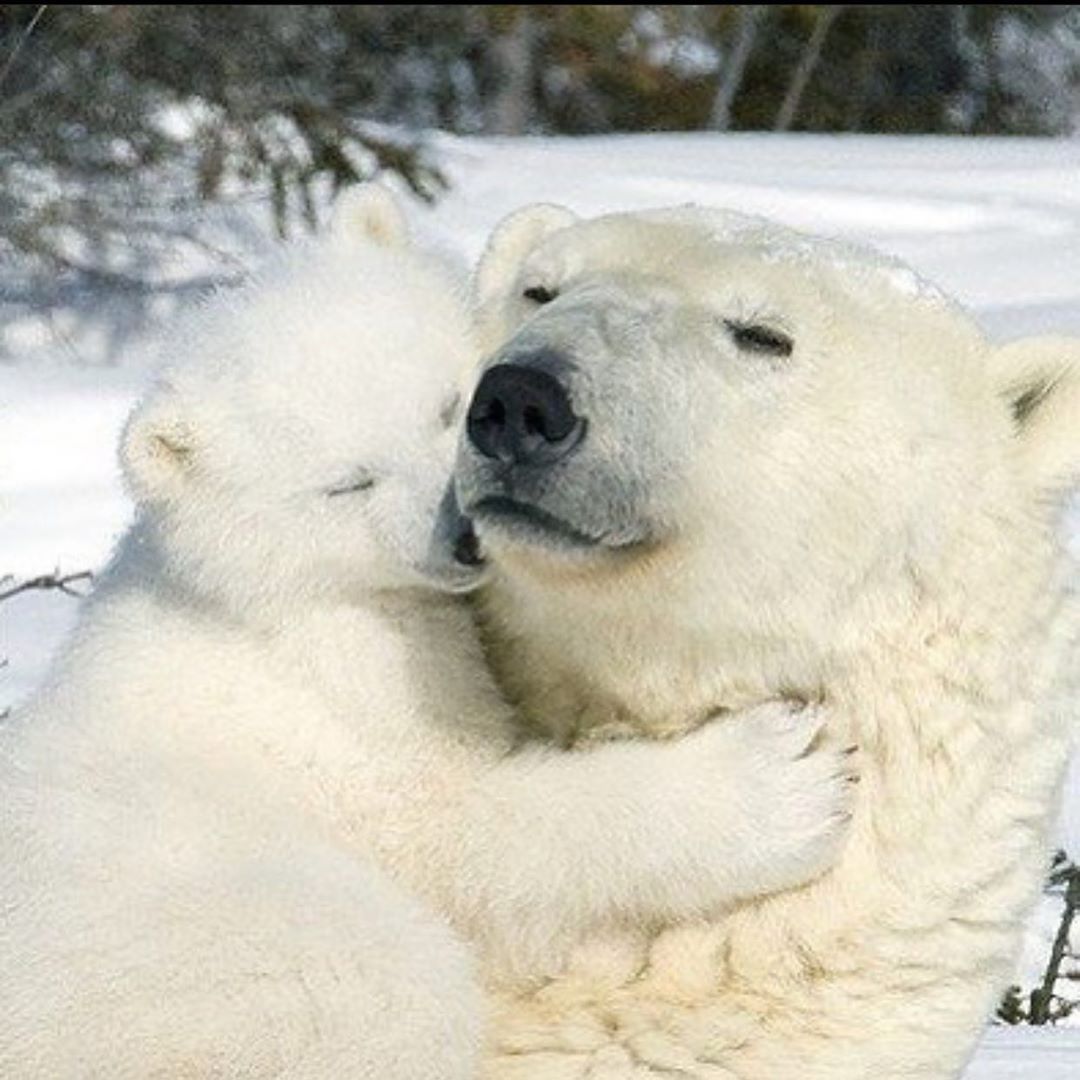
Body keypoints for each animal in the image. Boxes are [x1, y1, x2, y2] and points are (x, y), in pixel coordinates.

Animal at [0, 188, 856, 1079]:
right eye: (348, 484)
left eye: (448, 406)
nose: (462, 533)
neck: (271, 596)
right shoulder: (345, 696)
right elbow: (462, 826)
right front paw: (783, 774)